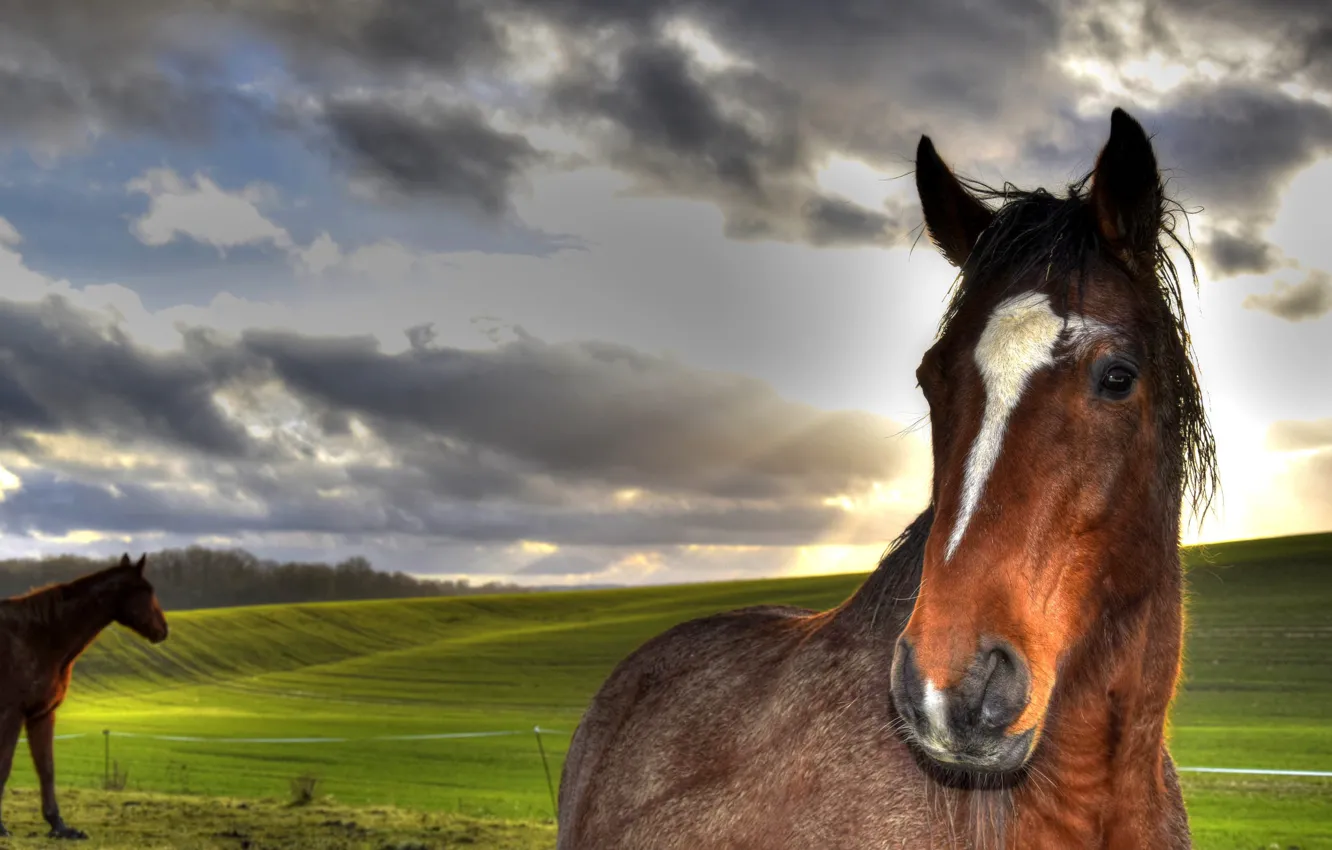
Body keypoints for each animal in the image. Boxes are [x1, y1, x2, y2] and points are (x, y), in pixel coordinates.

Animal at [0, 553, 169, 840]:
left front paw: (58, 825)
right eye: (147, 590)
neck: (37, 637)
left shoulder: (42, 715)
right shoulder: (11, 715)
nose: (163, 630)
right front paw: (1, 827)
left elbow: (47, 768)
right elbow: (5, 765)